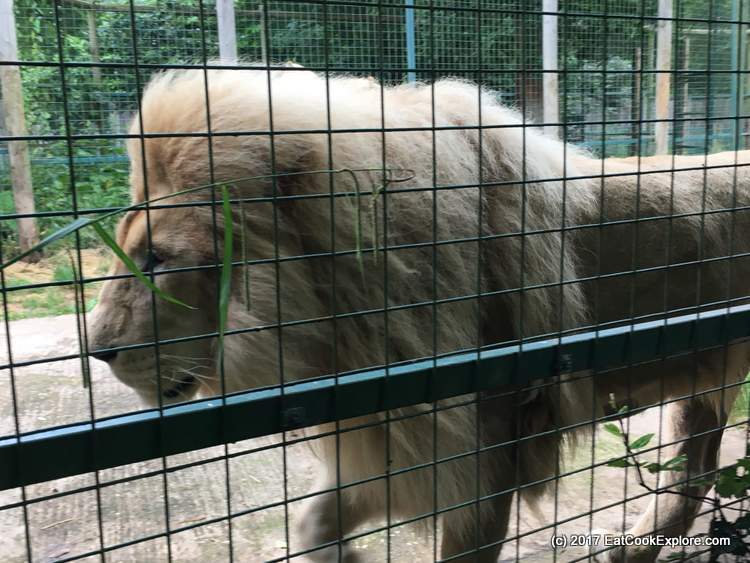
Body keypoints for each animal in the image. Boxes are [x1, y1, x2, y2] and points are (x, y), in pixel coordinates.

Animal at [88, 68, 750, 562]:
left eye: (158, 259)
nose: (96, 350)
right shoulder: (390, 430)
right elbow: (313, 521)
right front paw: (338, 556)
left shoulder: (482, 448)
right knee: (695, 472)